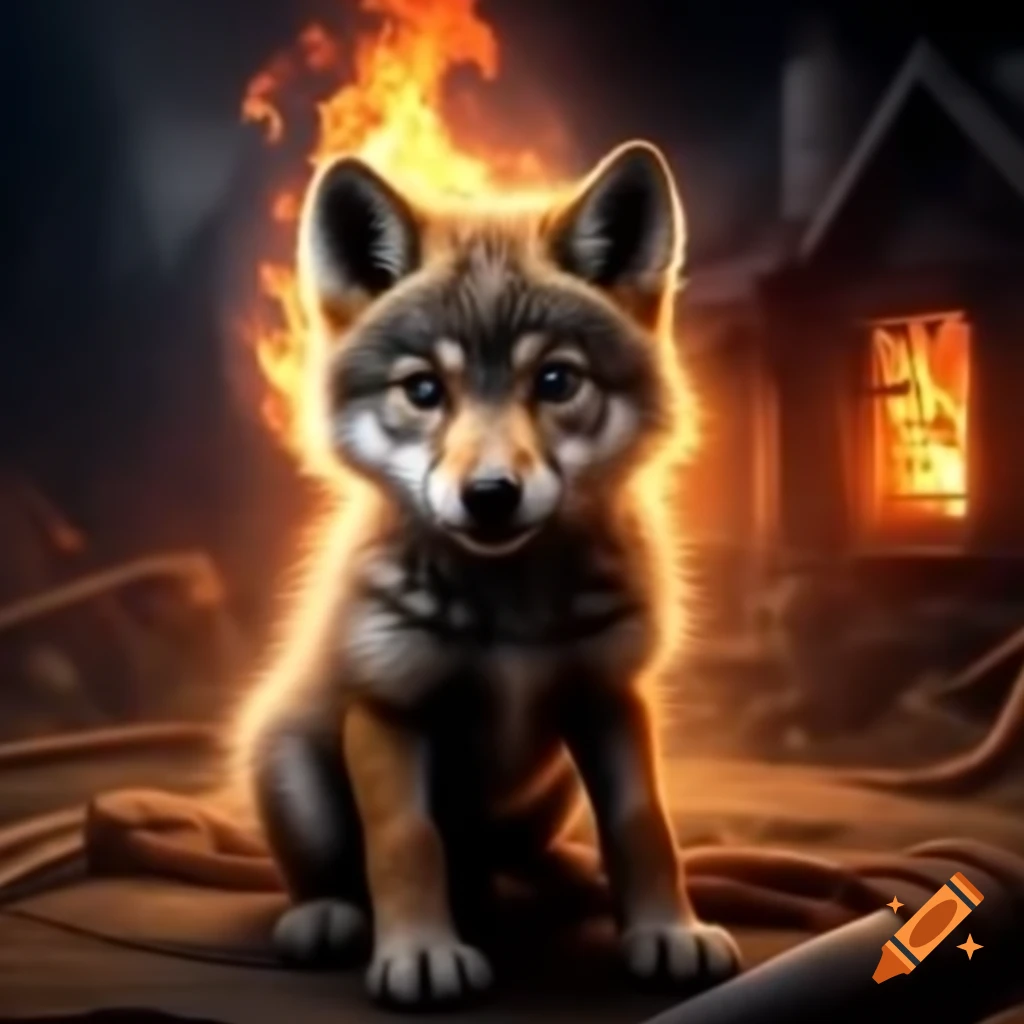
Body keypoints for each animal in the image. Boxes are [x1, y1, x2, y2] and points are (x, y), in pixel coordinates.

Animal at [232, 140, 740, 1009]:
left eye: (556, 381)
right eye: (423, 390)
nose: (492, 494)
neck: (511, 614)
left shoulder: (609, 695)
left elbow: (644, 826)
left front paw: (667, 932)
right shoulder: (390, 707)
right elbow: (405, 843)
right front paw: (421, 953)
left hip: (550, 787)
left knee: (515, 857)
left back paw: (554, 876)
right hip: (288, 763)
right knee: (337, 871)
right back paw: (328, 915)